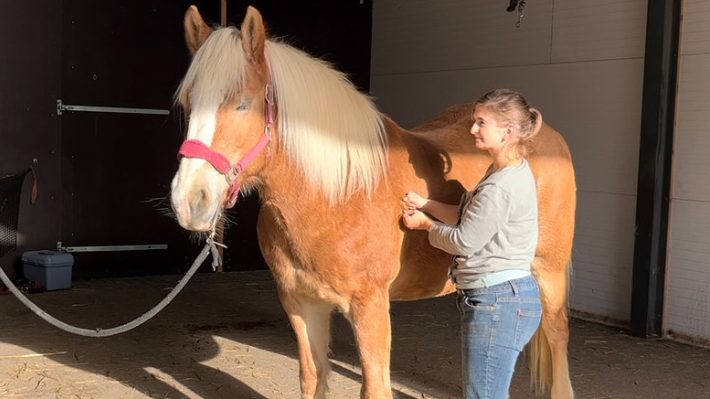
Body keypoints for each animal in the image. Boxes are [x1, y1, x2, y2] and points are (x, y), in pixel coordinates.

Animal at [171, 6, 580, 399]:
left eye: (243, 105)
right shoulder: (301, 303)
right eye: (188, 103)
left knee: (557, 334)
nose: (189, 200)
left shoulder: (369, 306)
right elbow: (312, 377)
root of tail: (547, 137)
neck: (336, 196)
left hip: (550, 270)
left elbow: (375, 387)